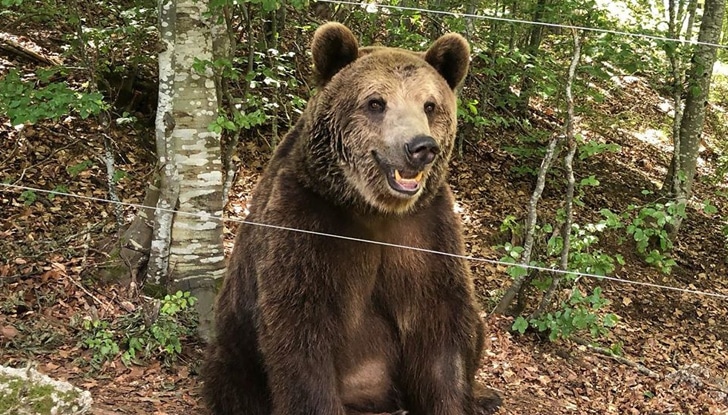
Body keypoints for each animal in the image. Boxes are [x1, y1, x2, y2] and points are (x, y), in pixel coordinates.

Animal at [202, 23, 504, 415]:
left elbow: (442, 329)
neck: (374, 209)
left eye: (430, 105)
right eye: (376, 102)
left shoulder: (426, 232)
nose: (420, 147)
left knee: (476, 327)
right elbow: (301, 335)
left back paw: (484, 395)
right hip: (236, 340)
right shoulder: (307, 223)